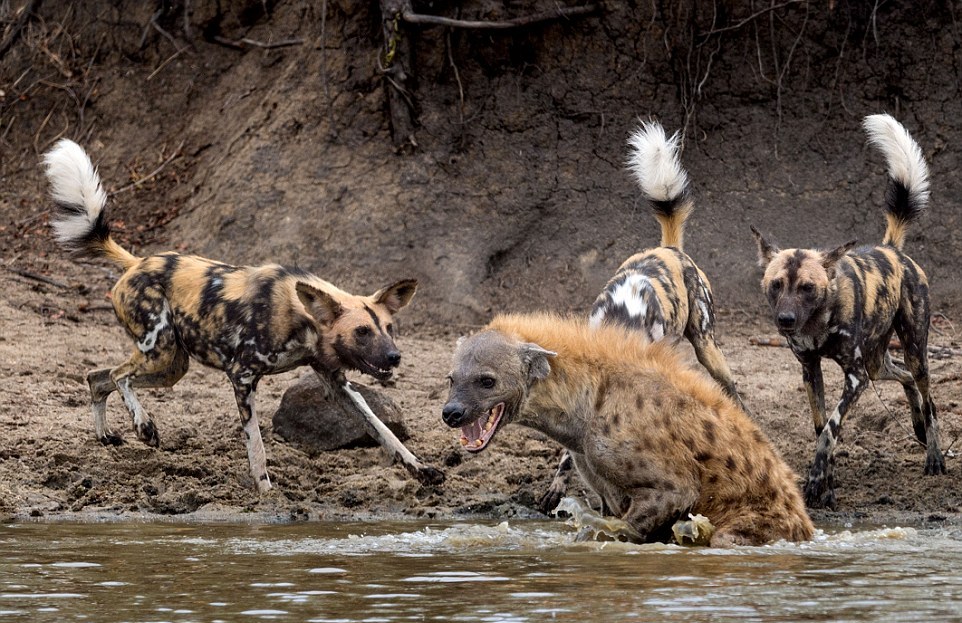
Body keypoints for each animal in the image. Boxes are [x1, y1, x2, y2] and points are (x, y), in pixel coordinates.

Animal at [752, 114, 944, 510]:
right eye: (776, 285)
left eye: (807, 288)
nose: (785, 321)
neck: (817, 323)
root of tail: (892, 250)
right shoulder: (811, 370)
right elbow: (820, 427)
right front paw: (827, 483)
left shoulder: (854, 378)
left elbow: (830, 429)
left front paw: (816, 483)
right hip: (877, 363)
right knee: (904, 377)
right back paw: (917, 426)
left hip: (913, 351)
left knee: (928, 394)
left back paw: (934, 455)